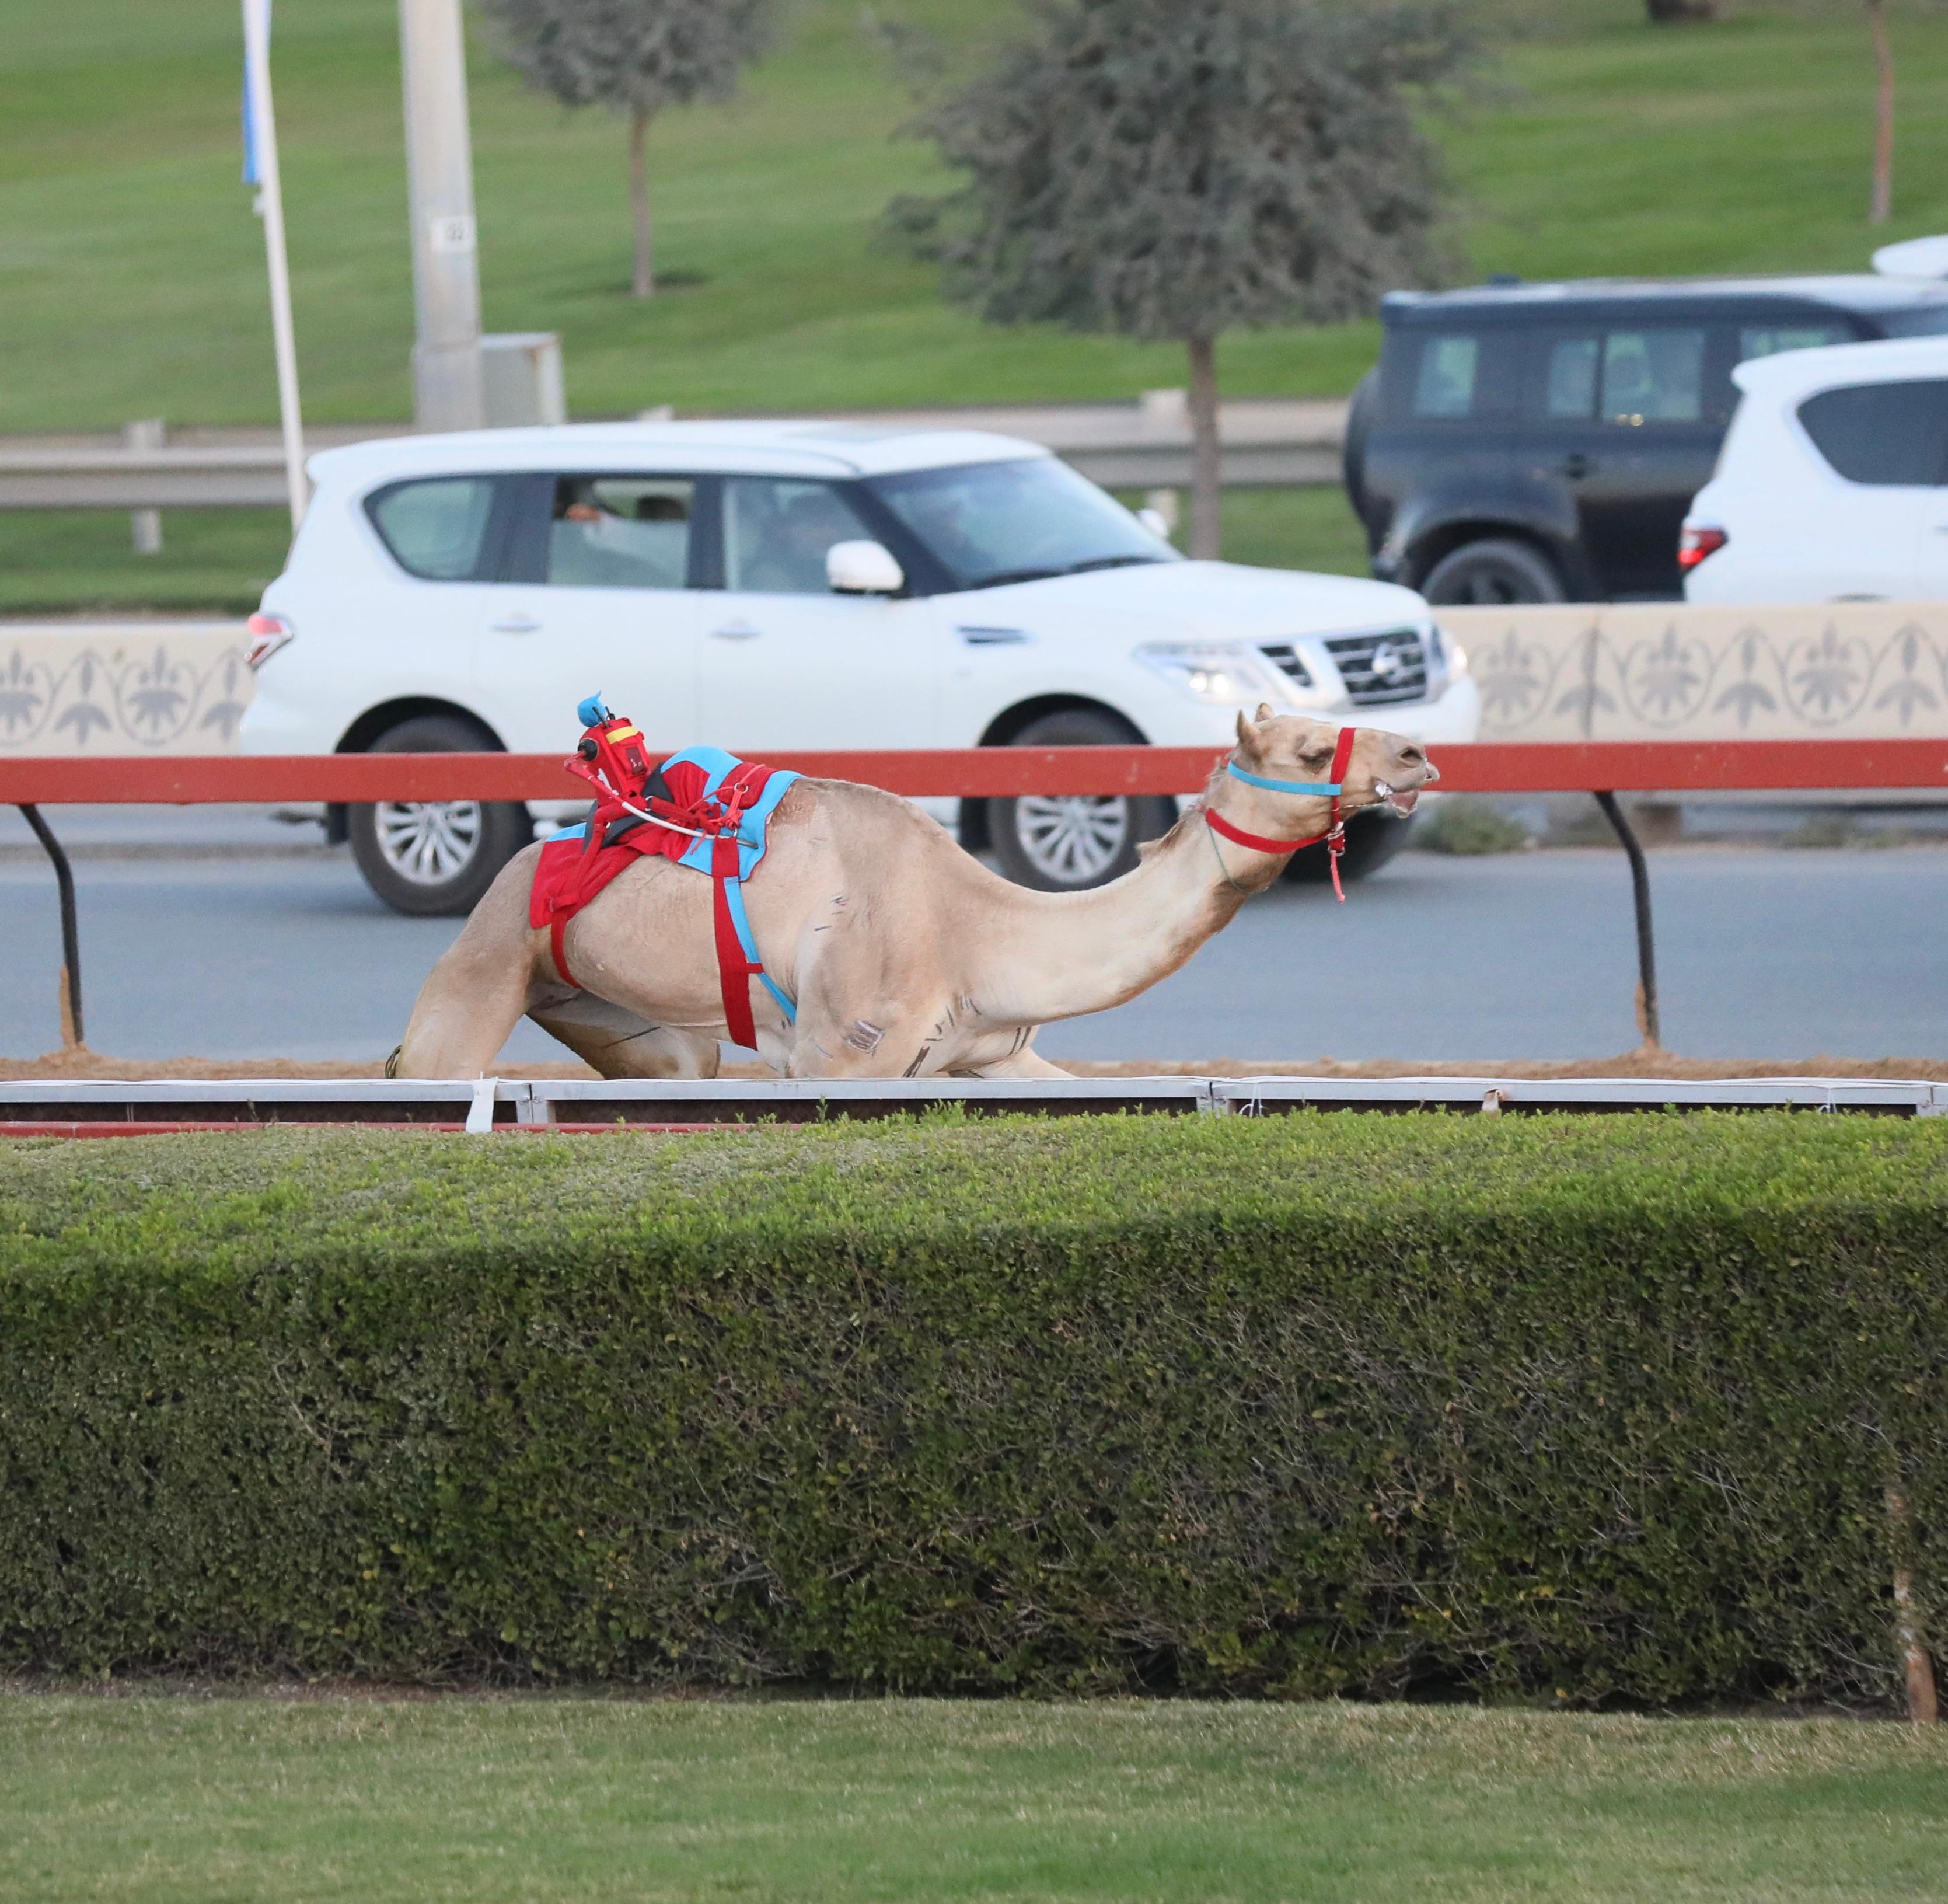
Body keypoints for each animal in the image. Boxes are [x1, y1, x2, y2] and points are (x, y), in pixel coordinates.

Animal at [387, 705, 1441, 1076]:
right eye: (1308, 746)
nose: (1416, 753)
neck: (975, 926)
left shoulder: (987, 1054)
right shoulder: (838, 1053)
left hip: (626, 1019)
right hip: (487, 965)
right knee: (433, 1065)